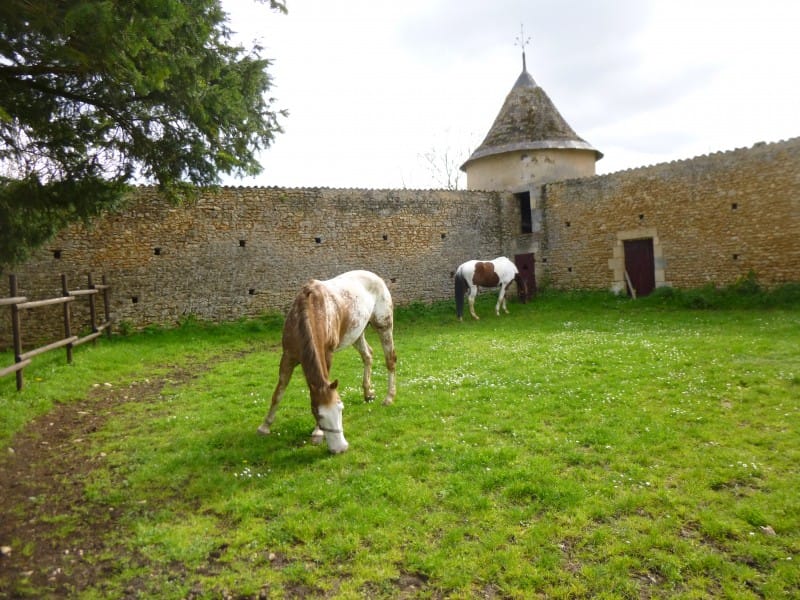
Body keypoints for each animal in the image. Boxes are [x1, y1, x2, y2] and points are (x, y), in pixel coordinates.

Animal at [260, 270, 396, 452]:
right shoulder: (287, 356)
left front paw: (317, 433)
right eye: (319, 414)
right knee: (368, 355)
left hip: (384, 326)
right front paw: (265, 426)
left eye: (340, 409)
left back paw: (389, 398)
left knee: (390, 360)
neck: (311, 311)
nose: (341, 448)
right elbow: (279, 392)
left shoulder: (327, 355)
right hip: (356, 334)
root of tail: (376, 277)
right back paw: (368, 393)